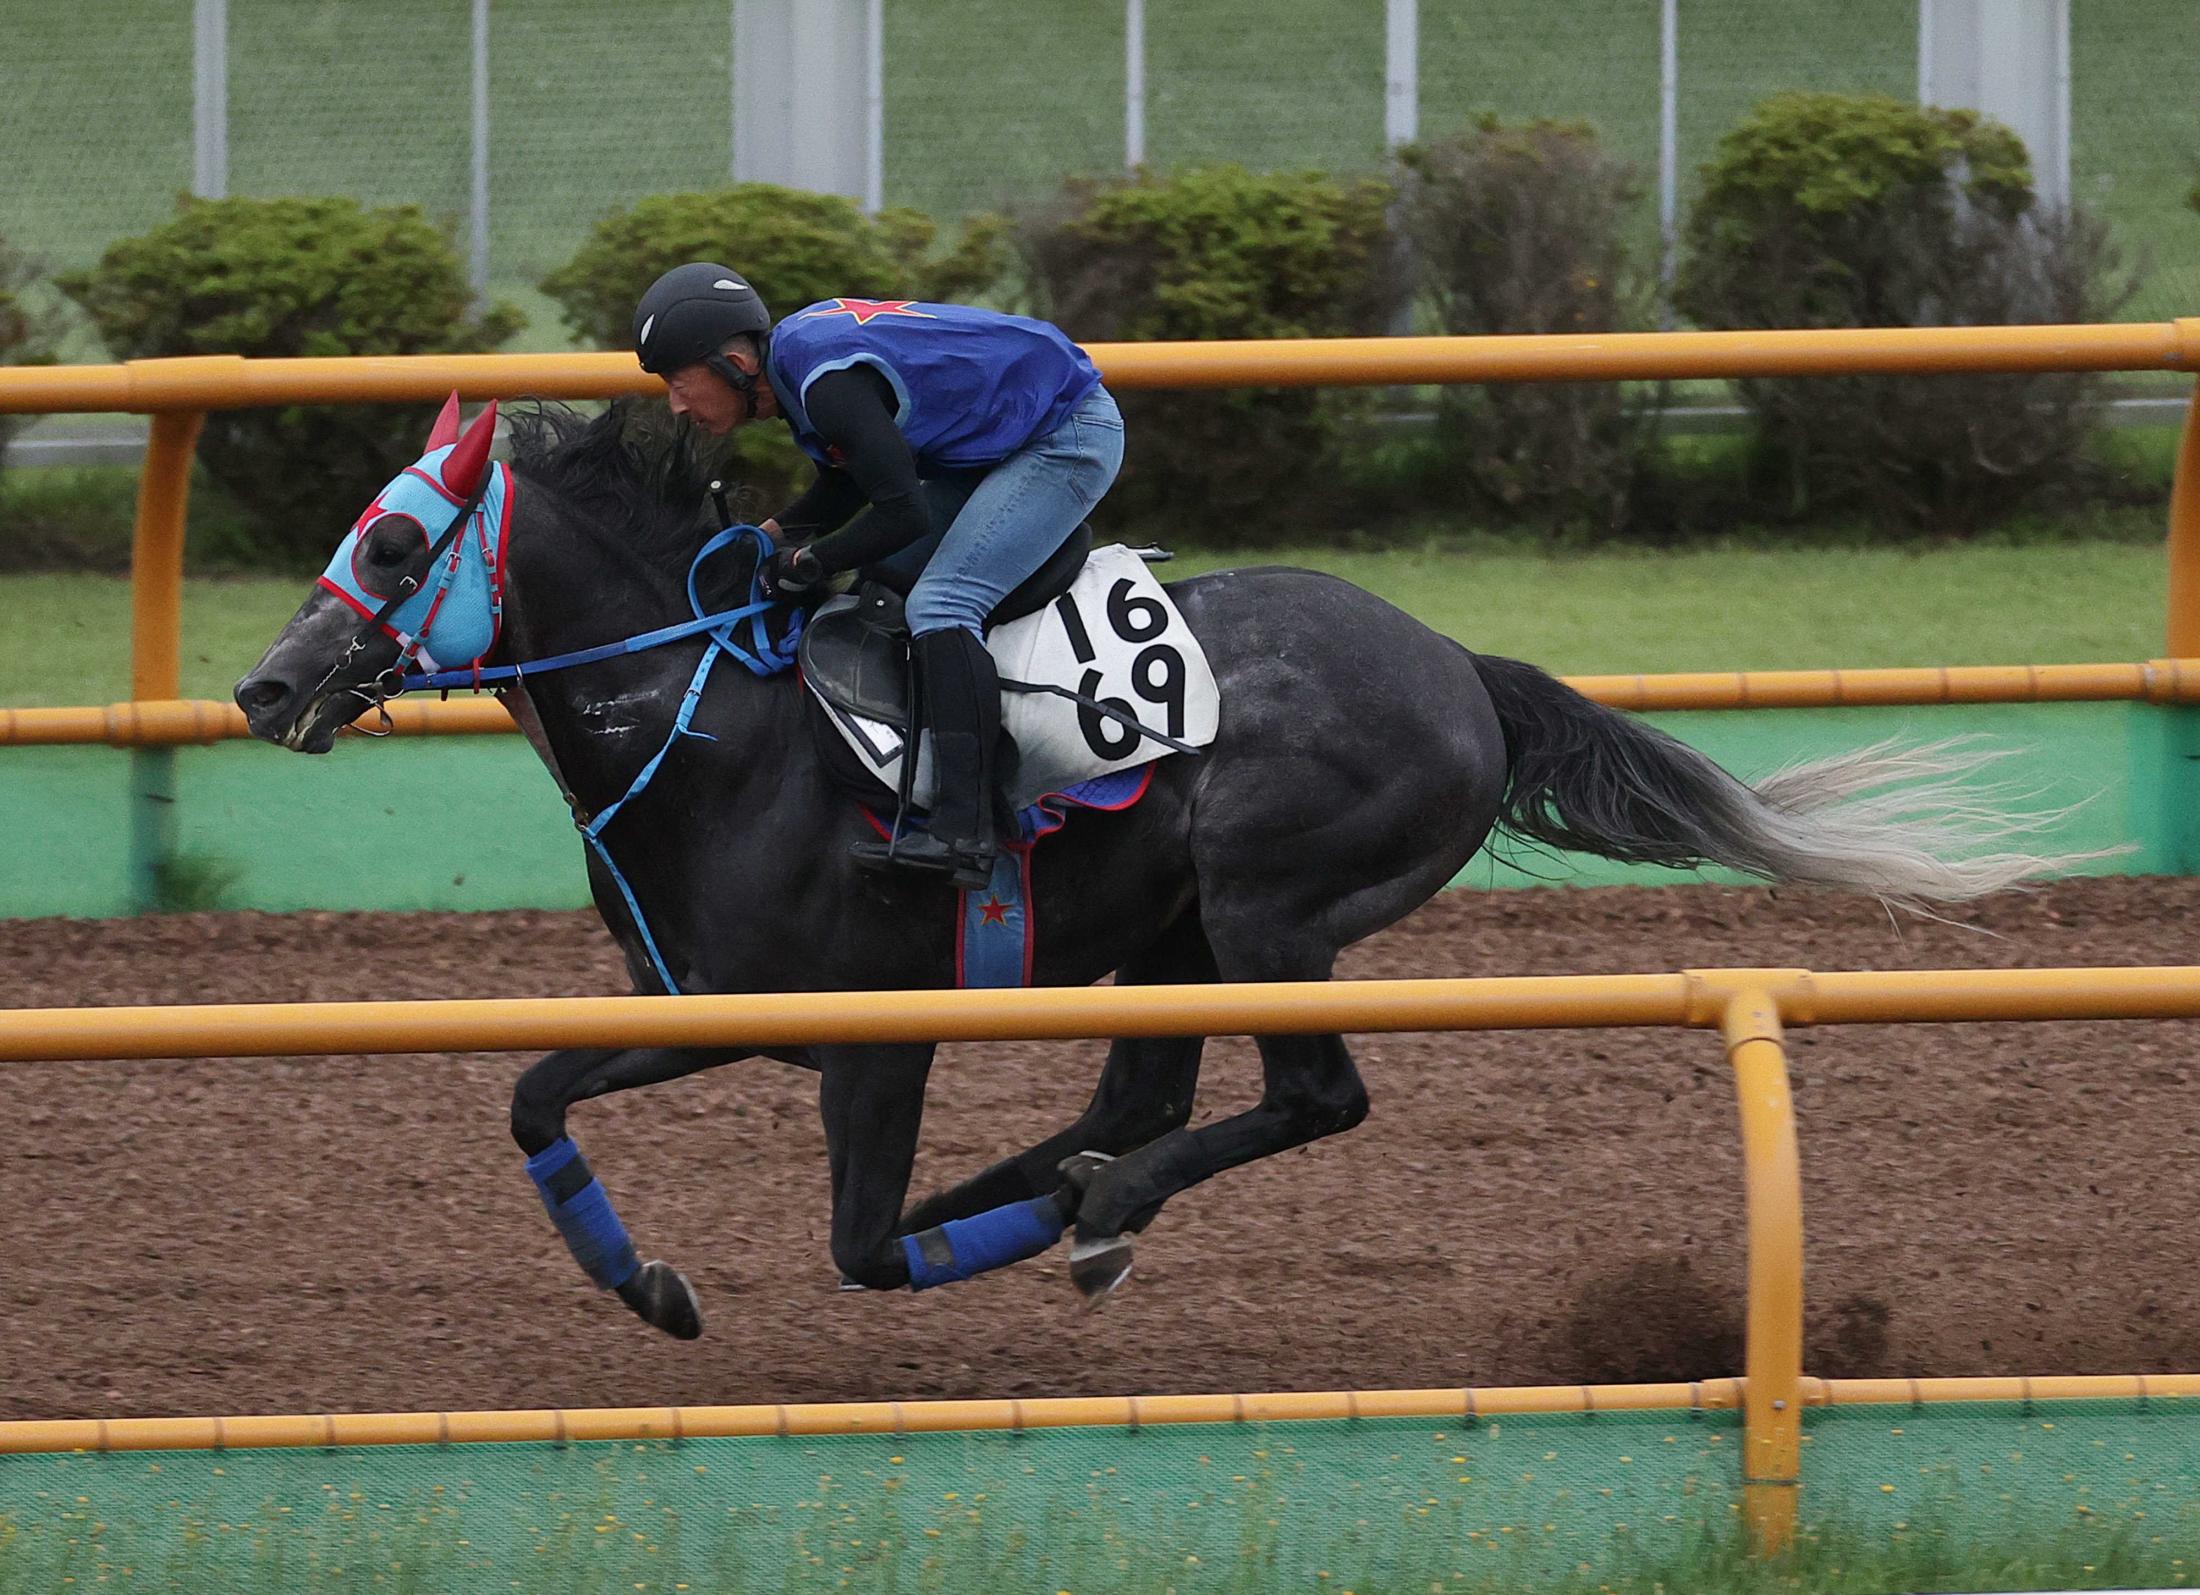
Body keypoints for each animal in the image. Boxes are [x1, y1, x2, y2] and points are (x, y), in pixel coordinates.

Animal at [236, 404, 2076, 1337]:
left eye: (391, 543)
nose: (263, 685)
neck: (720, 724)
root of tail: (1457, 667)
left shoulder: (868, 1029)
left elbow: (859, 1243)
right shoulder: (721, 1006)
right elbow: (532, 1095)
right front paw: (650, 1282)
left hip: (1269, 909)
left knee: (1299, 1101)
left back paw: (1097, 1208)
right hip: (1174, 926)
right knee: (1138, 1097)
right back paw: (1074, 1196)